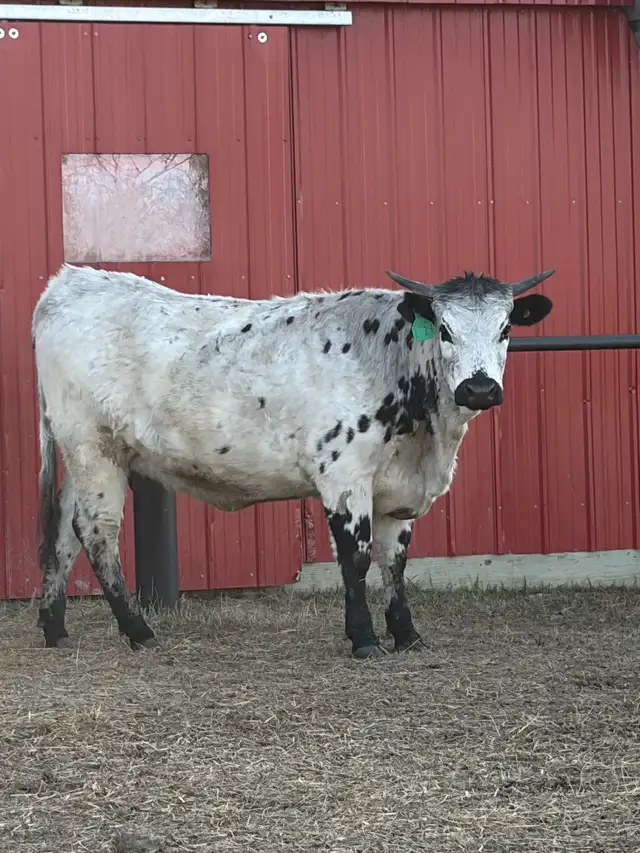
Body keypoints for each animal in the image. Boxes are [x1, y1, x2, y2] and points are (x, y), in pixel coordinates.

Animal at [33, 263, 555, 658]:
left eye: (506, 328)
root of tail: (69, 281)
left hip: (84, 454)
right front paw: (364, 640)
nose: (479, 388)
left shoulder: (396, 490)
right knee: (97, 532)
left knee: (64, 530)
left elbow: (395, 562)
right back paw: (138, 631)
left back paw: (55, 628)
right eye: (445, 330)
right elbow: (357, 558)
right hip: (92, 445)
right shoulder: (344, 475)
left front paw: (407, 635)